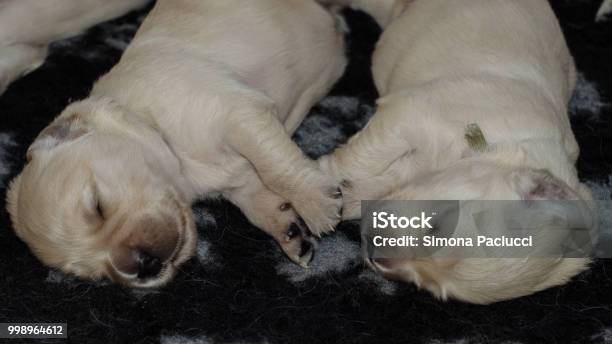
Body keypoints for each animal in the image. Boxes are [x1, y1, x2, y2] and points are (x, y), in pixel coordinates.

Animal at [320, 0, 592, 302]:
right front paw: (317, 187)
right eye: (437, 227)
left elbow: (371, 188)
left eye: (430, 287)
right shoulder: (409, 113)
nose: (372, 252)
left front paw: (342, 199)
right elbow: (360, 158)